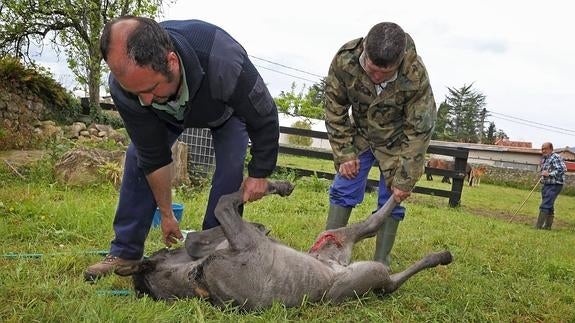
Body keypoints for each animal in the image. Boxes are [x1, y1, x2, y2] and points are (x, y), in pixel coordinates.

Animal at [120, 182, 454, 312]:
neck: (196, 277)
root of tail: (338, 265)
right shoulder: (242, 234)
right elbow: (225, 201)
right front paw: (275, 186)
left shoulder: (222, 237)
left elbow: (205, 228)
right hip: (364, 272)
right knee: (387, 269)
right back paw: (440, 253)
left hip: (336, 242)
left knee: (373, 225)